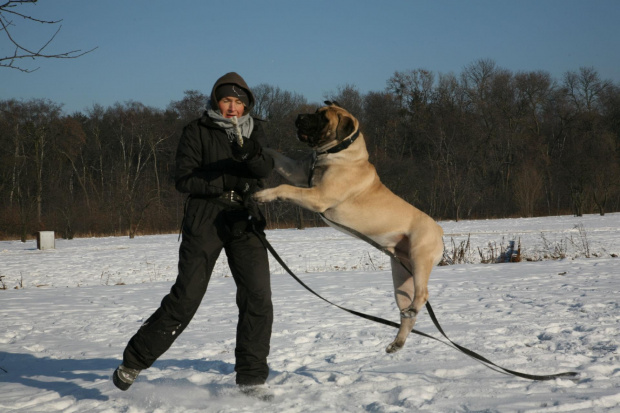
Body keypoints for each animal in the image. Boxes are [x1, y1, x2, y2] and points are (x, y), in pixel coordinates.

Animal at [254, 100, 444, 350]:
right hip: (402, 276)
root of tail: (439, 229)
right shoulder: (299, 173)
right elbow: (277, 156)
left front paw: (263, 194)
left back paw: (411, 313)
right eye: (315, 112)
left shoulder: (318, 196)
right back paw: (397, 342)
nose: (299, 116)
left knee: (423, 294)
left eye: (323, 118)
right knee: (407, 314)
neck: (338, 153)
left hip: (420, 257)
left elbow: (285, 188)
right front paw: (257, 145)